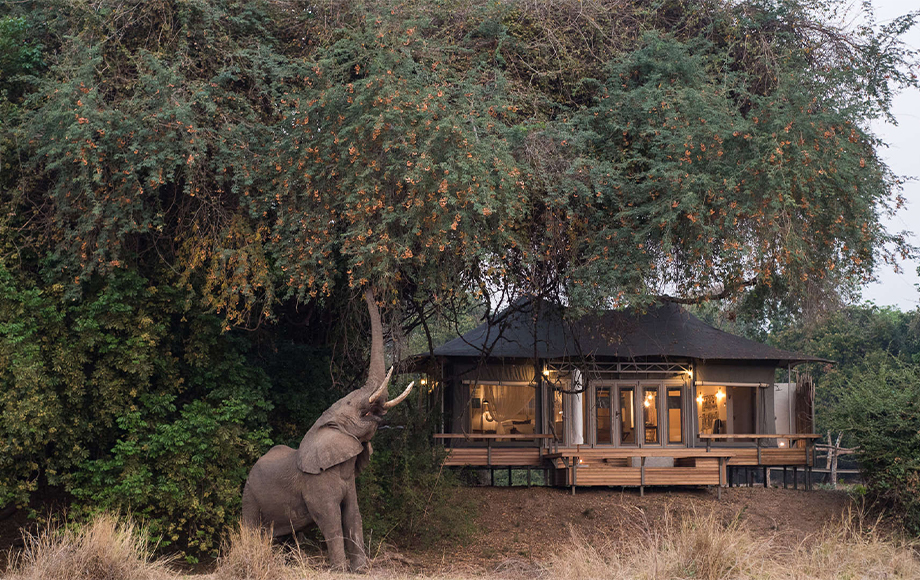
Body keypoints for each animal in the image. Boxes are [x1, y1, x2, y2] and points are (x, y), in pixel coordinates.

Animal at [241, 290, 414, 572]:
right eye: (350, 403)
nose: (365, 290)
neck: (325, 425)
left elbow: (353, 515)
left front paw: (360, 569)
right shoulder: (316, 482)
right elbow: (330, 518)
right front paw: (341, 570)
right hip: (250, 493)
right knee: (250, 527)